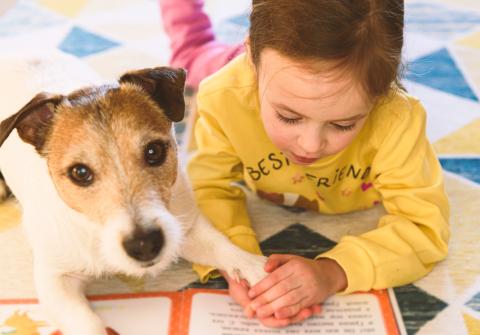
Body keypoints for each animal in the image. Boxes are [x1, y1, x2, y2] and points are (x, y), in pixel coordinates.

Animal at [0, 51, 266, 334]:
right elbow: (89, 323)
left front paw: (263, 273)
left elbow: (224, 248)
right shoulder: (55, 280)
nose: (145, 245)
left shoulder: (187, 228)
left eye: (154, 151)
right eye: (80, 172)